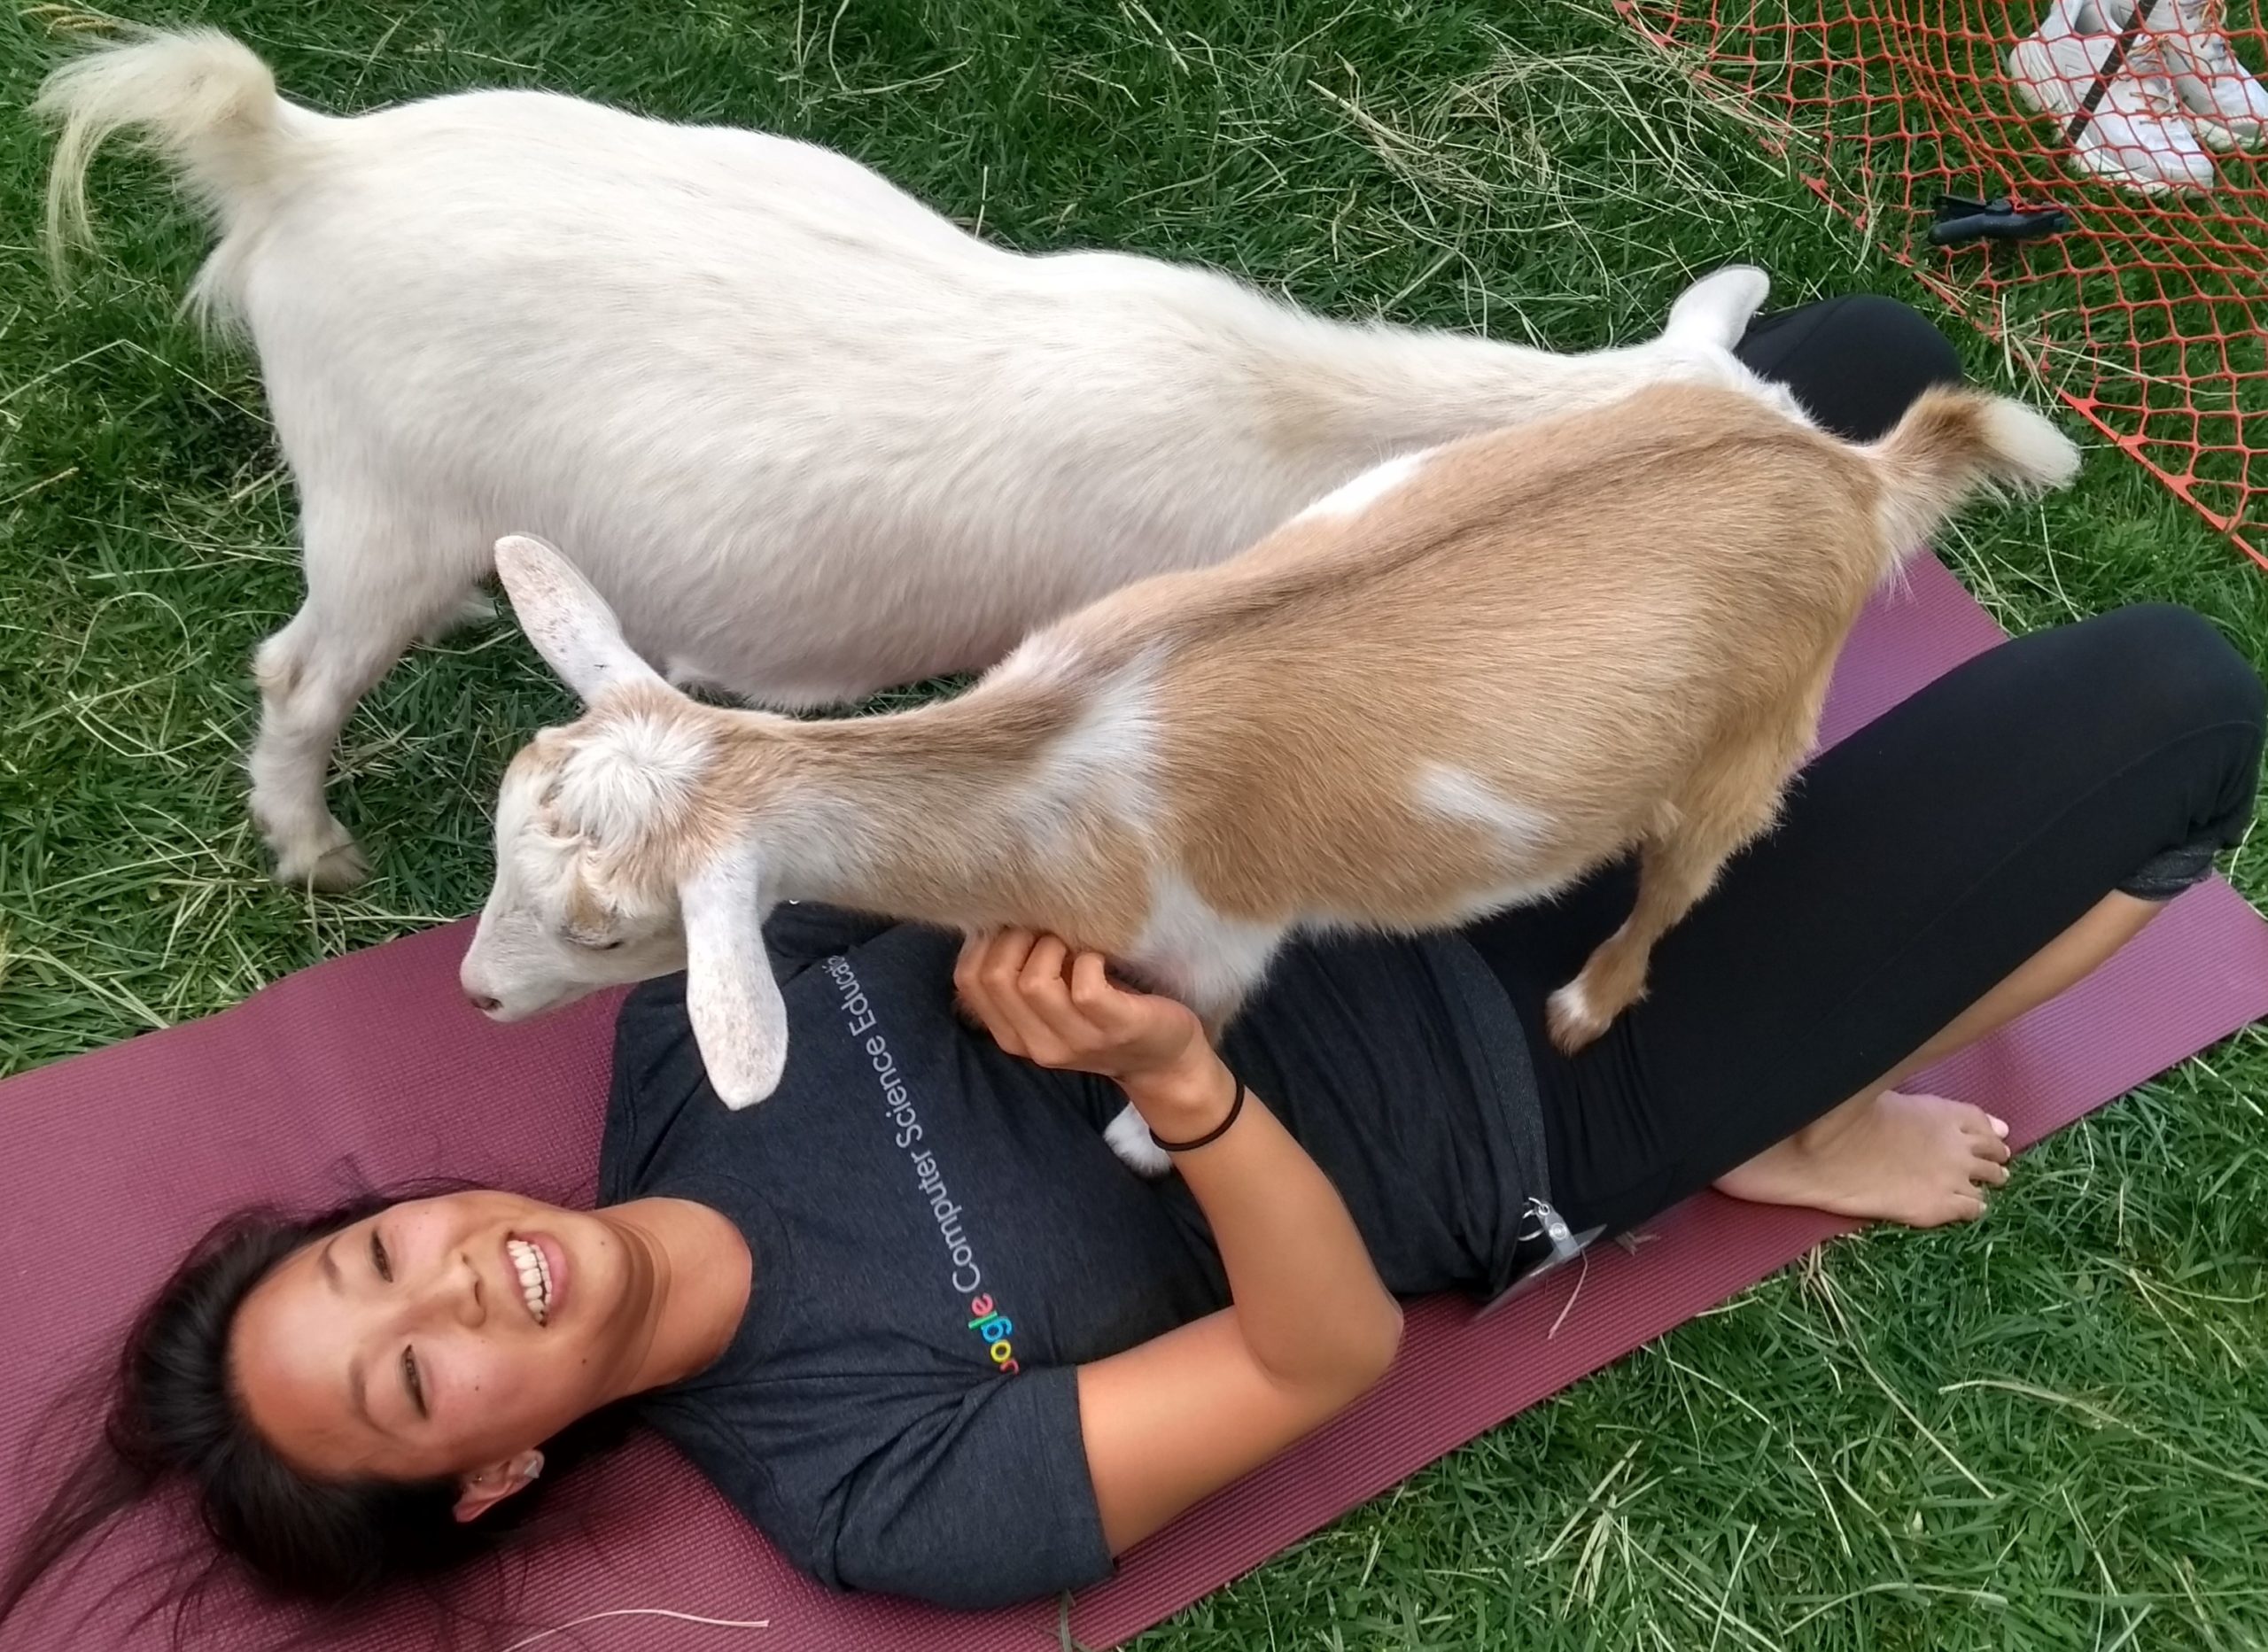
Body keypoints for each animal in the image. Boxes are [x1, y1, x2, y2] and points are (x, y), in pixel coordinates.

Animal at [462, 380, 2080, 1174]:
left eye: (608, 934)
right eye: (496, 828)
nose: (474, 996)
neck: (1037, 769)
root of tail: (1853, 481)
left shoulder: (1214, 942)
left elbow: (1195, 1035)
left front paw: (1141, 1138)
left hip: (1753, 742)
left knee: (1678, 881)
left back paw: (1583, 1002)